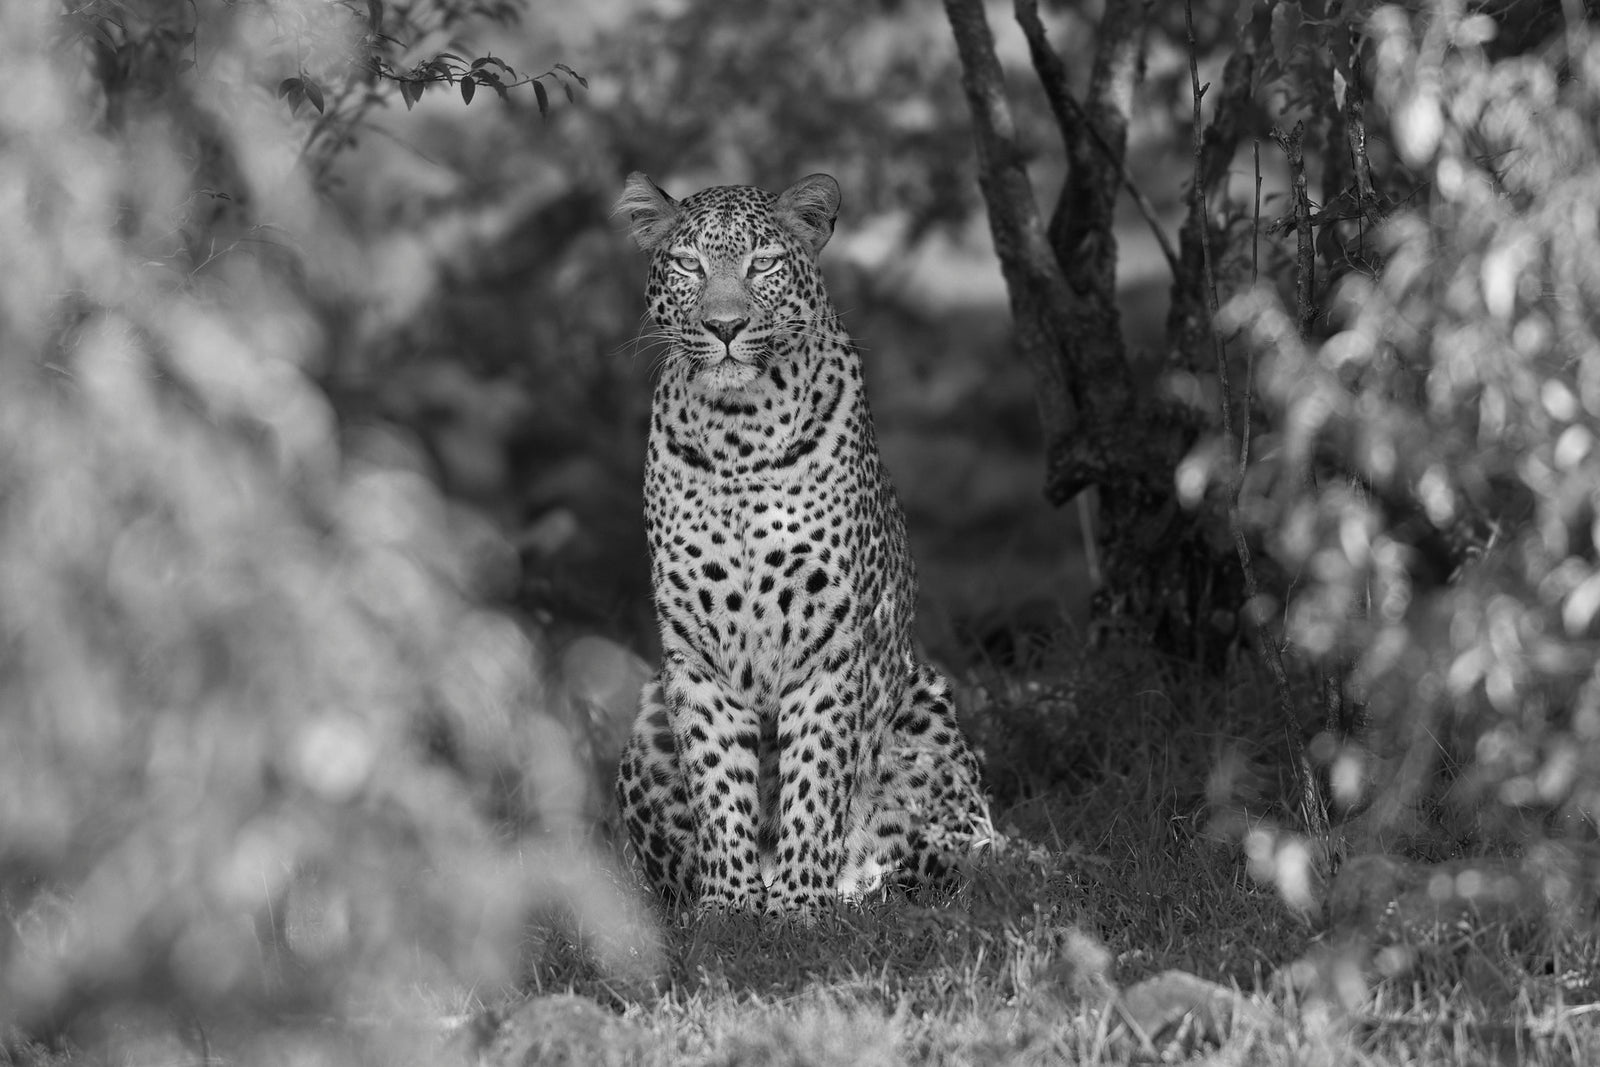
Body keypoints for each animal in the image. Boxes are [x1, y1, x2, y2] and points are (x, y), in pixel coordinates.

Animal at [612, 172, 994, 919]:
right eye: (688, 264)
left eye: (763, 263)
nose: (725, 327)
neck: (738, 434)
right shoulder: (694, 652)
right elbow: (715, 776)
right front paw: (729, 906)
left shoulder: (830, 639)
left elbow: (815, 775)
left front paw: (798, 905)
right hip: (647, 716)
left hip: (927, 707)